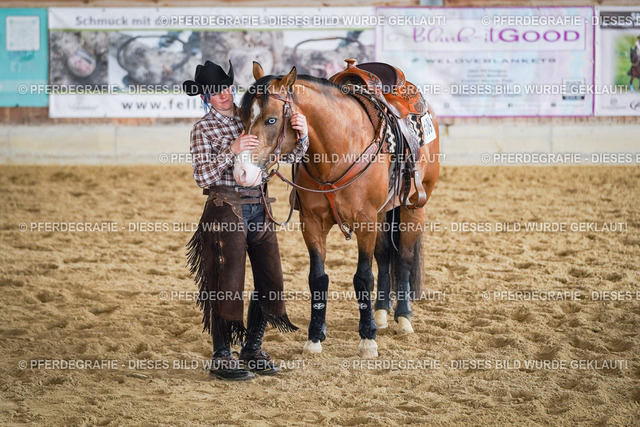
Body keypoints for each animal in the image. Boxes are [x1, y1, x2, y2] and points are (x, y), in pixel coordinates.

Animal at [234, 62, 439, 357]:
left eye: (271, 120)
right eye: (241, 118)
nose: (242, 172)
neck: (337, 150)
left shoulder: (365, 222)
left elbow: (363, 277)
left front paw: (367, 339)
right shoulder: (311, 223)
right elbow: (318, 278)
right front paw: (315, 337)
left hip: (413, 207)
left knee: (404, 259)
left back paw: (403, 318)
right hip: (383, 213)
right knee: (385, 256)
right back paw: (381, 312)